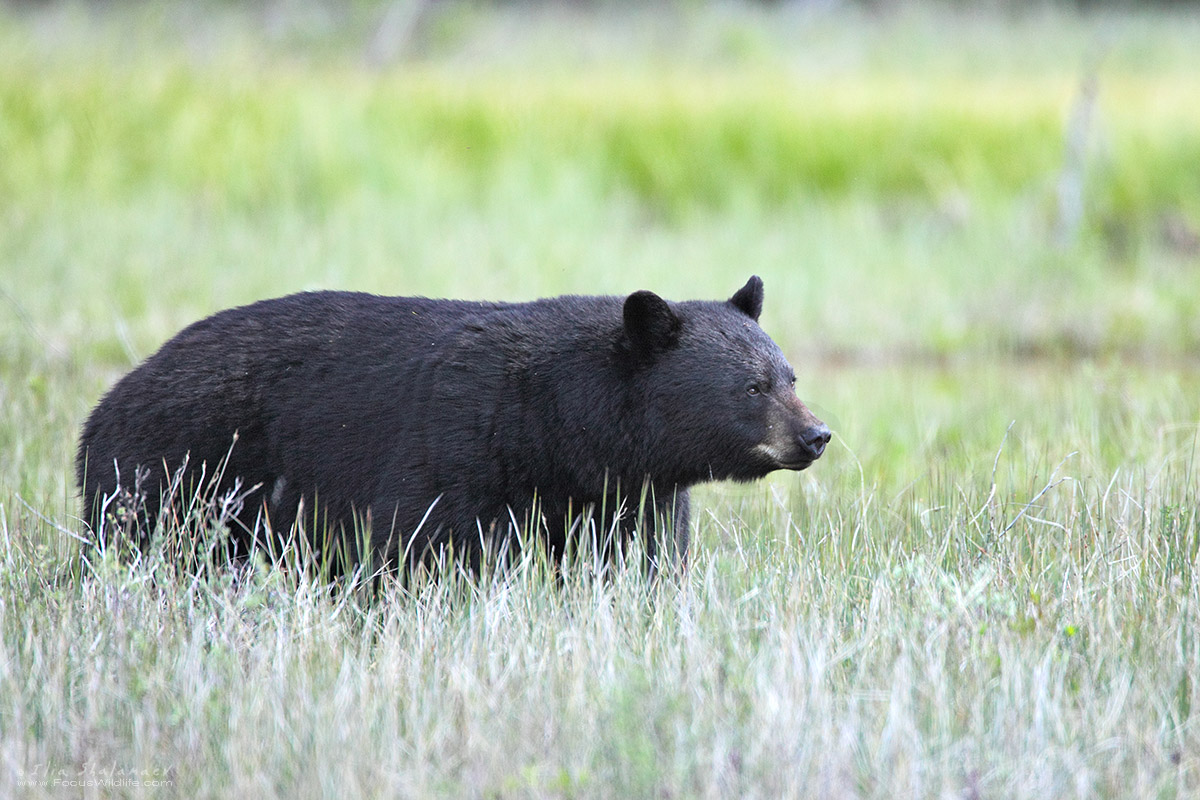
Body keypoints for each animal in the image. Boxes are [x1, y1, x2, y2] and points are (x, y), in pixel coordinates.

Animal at [75, 278, 825, 573]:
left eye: (790, 377)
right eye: (751, 387)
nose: (816, 436)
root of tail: (104, 407)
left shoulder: (629, 494)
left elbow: (636, 559)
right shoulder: (458, 448)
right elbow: (419, 548)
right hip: (172, 477)